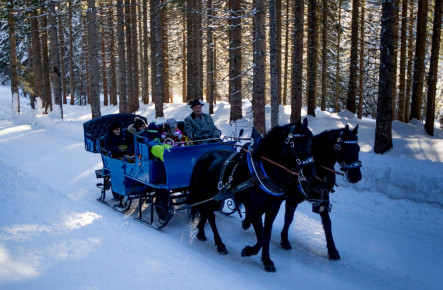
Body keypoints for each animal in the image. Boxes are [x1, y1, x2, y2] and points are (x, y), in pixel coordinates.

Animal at [189, 118, 318, 272]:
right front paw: (248, 251)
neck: (264, 172)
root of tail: (201, 157)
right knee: (211, 216)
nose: (311, 174)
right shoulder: (254, 209)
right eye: (296, 143)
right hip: (206, 195)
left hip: (215, 198)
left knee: (206, 213)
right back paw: (220, 244)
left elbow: (266, 235)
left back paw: (201, 232)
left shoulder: (272, 209)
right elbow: (261, 236)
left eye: (311, 143)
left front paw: (267, 261)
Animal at [280, 124, 364, 258]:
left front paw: (332, 249)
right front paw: (284, 240)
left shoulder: (323, 199)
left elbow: (327, 223)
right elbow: (289, 218)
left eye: (358, 148)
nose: (357, 176)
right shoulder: (292, 199)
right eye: (346, 149)